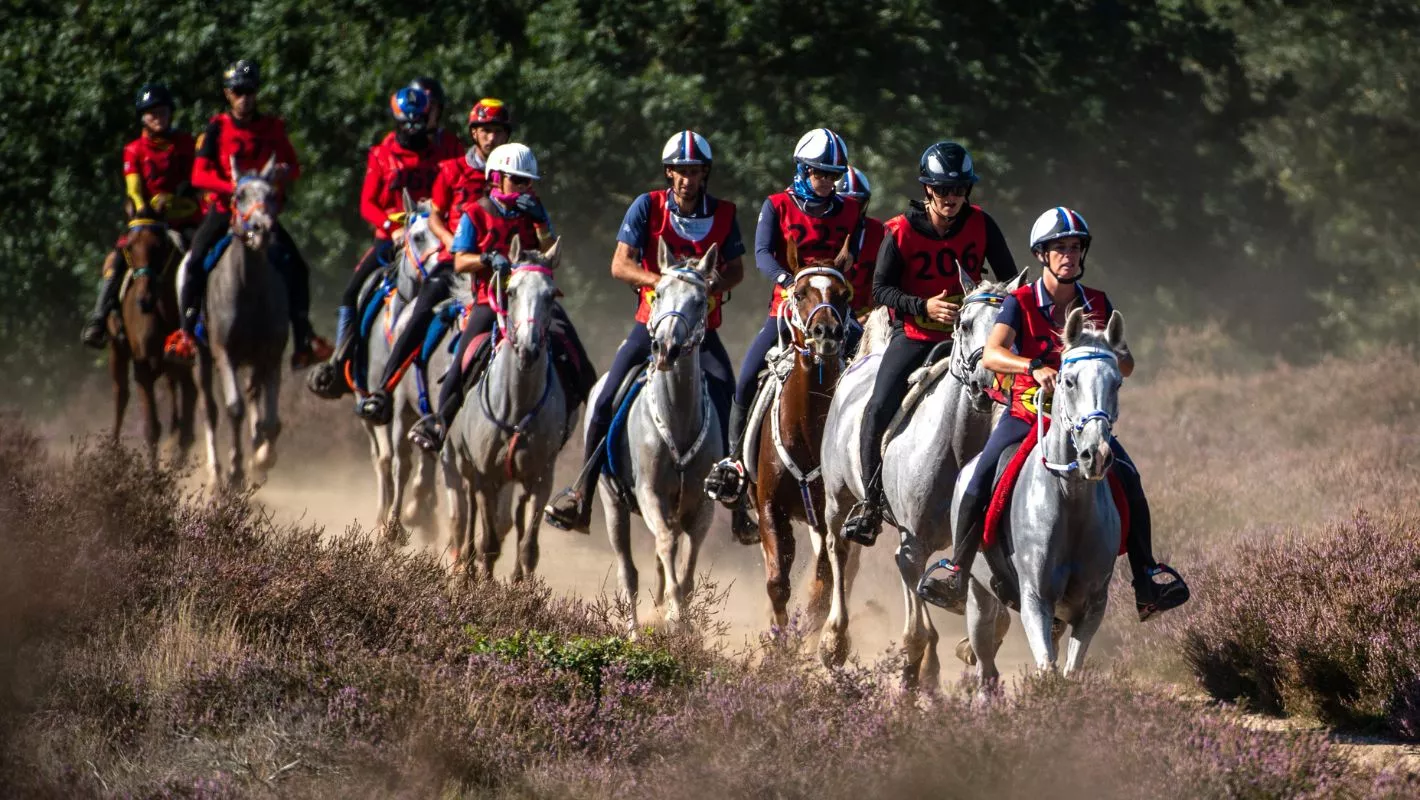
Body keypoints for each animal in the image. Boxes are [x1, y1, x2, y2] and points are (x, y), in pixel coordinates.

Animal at [107, 210, 195, 463]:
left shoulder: (184, 365)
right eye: (129, 247)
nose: (144, 298)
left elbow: (187, 422)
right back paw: (112, 450)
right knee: (121, 393)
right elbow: (151, 428)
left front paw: (177, 458)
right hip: (117, 349)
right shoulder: (143, 368)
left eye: (160, 246)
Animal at [186, 155, 291, 488]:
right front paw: (235, 470)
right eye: (238, 195)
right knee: (210, 408)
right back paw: (217, 473)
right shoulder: (224, 353)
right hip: (201, 357)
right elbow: (234, 408)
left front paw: (262, 457)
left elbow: (271, 420)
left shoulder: (271, 356)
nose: (261, 229)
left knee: (255, 399)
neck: (249, 291)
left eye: (271, 194)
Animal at [347, 193, 437, 542]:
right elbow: (391, 460)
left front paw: (419, 513)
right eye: (418, 236)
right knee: (380, 458)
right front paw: (389, 524)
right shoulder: (384, 402)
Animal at [448, 237, 570, 582]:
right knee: (470, 514)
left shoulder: (541, 478)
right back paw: (465, 567)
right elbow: (489, 541)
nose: (528, 349)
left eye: (551, 295)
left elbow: (528, 546)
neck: (517, 405)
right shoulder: (486, 476)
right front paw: (484, 586)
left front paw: (522, 591)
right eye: (512, 290)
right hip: (465, 465)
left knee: (514, 518)